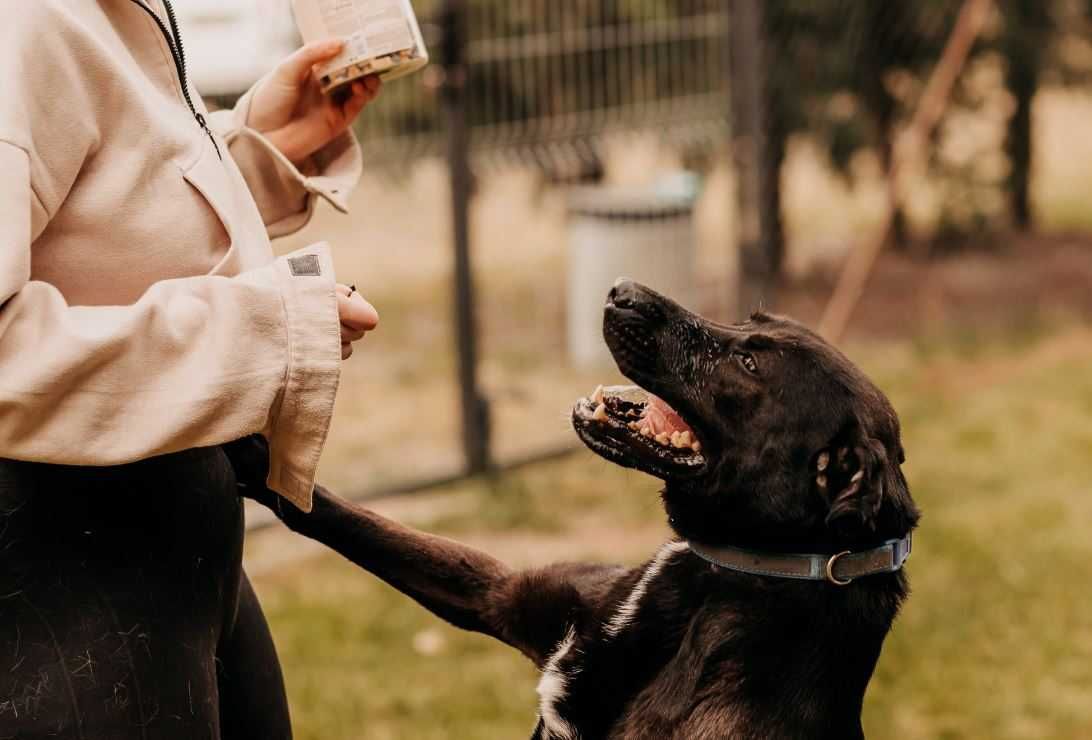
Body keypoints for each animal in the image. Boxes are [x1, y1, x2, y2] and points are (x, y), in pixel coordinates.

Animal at [234, 279, 917, 740]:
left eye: (748, 363)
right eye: (746, 323)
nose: (622, 292)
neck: (717, 578)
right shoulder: (502, 594)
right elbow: (341, 517)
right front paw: (248, 451)